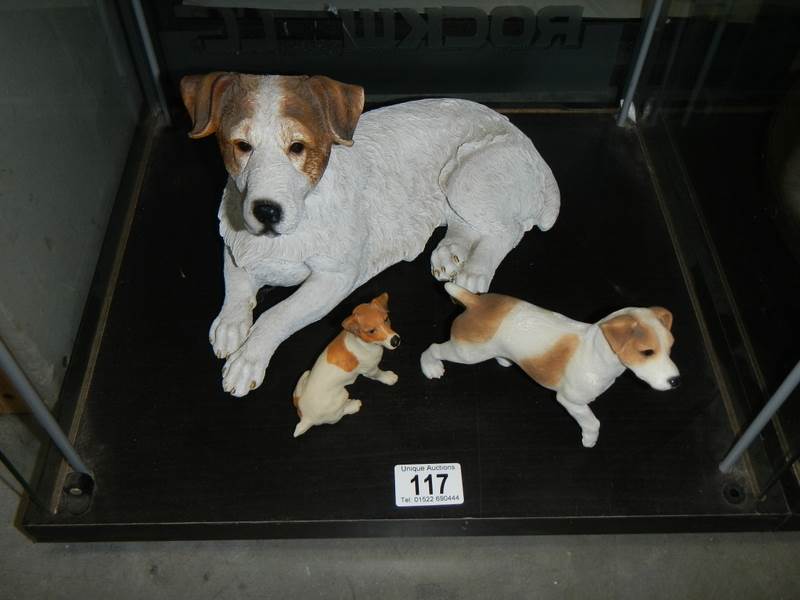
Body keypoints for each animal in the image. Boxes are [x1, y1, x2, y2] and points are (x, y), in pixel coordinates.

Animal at [292, 294, 398, 438]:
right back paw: (353, 405)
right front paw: (388, 377)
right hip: (342, 396)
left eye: (386, 319)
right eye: (371, 331)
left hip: (304, 376)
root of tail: (306, 418)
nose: (395, 341)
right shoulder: (371, 370)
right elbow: (379, 374)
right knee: (340, 414)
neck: (362, 342)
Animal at [418, 284, 680, 448]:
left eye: (670, 347)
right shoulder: (570, 401)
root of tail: (474, 301)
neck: (594, 350)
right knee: (433, 348)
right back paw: (430, 367)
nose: (675, 381)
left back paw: (504, 359)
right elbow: (592, 422)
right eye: (647, 352)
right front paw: (589, 439)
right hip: (466, 353)